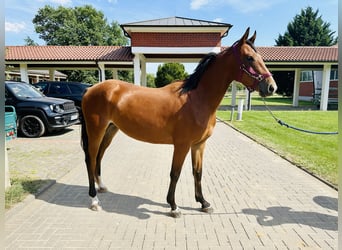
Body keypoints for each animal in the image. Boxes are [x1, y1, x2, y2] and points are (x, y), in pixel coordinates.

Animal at [81, 28, 276, 218]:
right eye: (249, 58)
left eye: (260, 57)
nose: (271, 87)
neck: (197, 98)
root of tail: (90, 89)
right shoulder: (182, 145)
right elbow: (175, 173)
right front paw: (174, 206)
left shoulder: (199, 145)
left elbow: (197, 172)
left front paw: (203, 203)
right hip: (96, 130)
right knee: (90, 158)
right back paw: (94, 200)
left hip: (110, 130)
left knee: (99, 157)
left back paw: (102, 187)